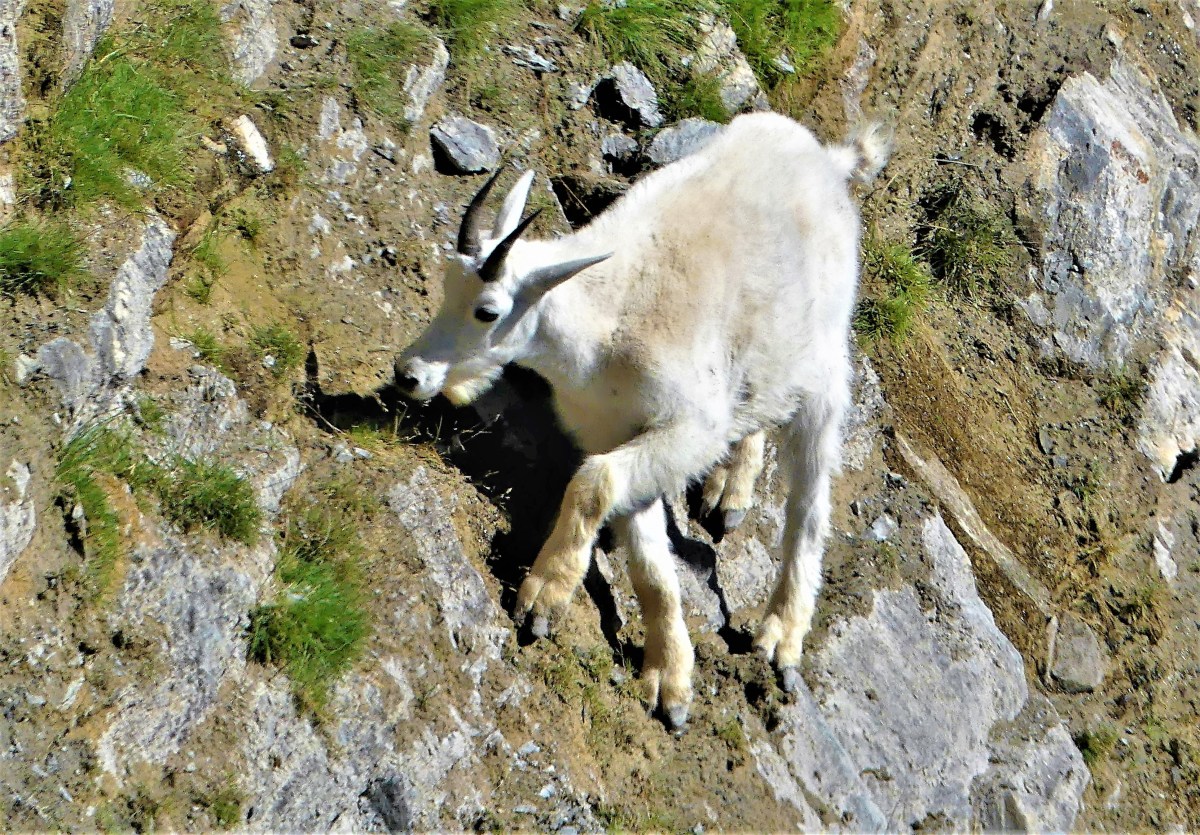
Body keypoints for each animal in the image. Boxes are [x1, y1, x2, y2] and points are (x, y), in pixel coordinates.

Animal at [397, 112, 890, 727]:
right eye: (445, 284)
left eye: (488, 311)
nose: (409, 374)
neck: (603, 326)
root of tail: (830, 162)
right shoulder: (623, 434)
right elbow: (651, 563)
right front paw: (670, 683)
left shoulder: (688, 430)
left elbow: (593, 483)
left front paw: (542, 598)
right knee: (756, 413)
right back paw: (731, 491)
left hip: (824, 369)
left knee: (809, 503)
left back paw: (781, 634)